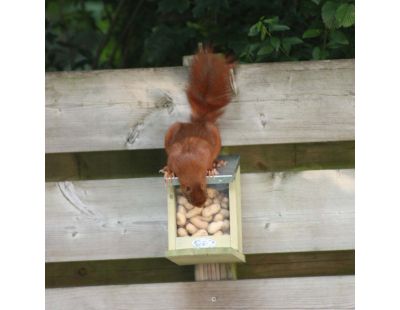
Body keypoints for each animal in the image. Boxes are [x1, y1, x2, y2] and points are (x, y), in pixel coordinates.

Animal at [161, 48, 233, 207]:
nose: (200, 204)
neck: (190, 166)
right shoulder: (174, 156)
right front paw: (169, 171)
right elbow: (170, 163)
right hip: (172, 130)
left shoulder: (204, 151)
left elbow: (209, 159)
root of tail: (198, 123)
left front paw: (210, 169)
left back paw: (217, 163)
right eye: (186, 191)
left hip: (214, 132)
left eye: (204, 186)